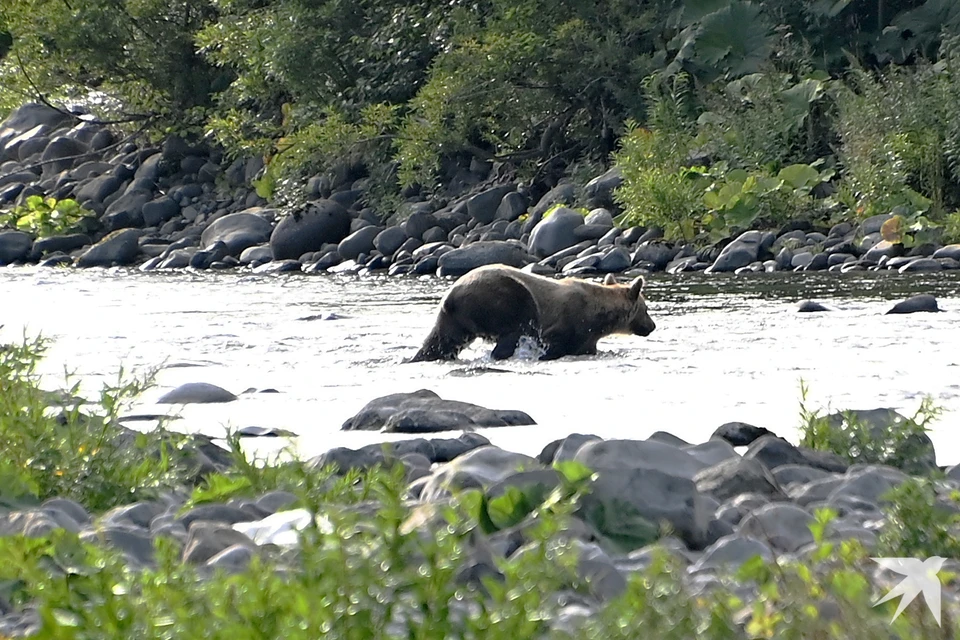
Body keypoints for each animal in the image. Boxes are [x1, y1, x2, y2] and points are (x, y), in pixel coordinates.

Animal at [410, 264, 656, 362]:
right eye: (646, 309)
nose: (652, 326)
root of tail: (451, 297)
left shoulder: (586, 337)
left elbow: (584, 348)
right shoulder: (567, 322)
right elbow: (555, 342)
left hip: (453, 322)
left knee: (439, 342)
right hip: (504, 298)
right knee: (515, 328)